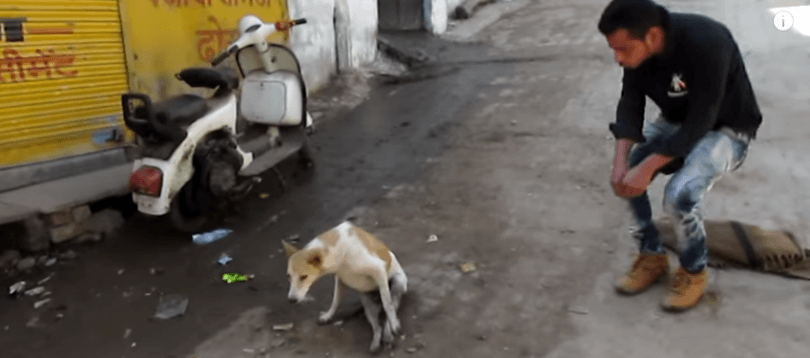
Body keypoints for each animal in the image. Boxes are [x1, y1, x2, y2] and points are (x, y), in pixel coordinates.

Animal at [284, 221, 410, 352]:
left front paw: (394, 324)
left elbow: (387, 305)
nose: (291, 300)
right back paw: (375, 342)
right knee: (377, 326)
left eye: (304, 277)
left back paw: (388, 333)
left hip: (398, 284)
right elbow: (336, 301)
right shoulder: (340, 279)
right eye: (288, 276)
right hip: (368, 304)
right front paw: (328, 316)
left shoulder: (378, 269)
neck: (339, 252)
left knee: (387, 315)